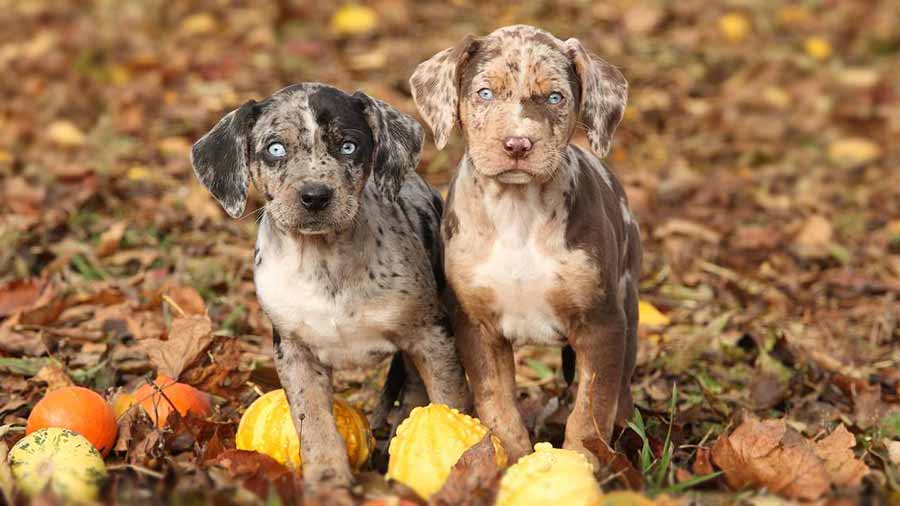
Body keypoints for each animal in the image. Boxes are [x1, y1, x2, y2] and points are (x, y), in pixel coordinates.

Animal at [190, 84, 472, 490]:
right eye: (275, 149)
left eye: (348, 146)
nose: (315, 196)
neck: (324, 262)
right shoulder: (294, 351)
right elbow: (313, 421)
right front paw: (327, 477)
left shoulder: (431, 337)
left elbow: (450, 402)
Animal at [412, 24, 644, 466]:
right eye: (485, 93)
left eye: (555, 98)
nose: (518, 144)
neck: (517, 213)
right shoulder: (475, 326)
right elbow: (496, 404)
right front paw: (509, 460)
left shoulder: (603, 323)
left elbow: (592, 409)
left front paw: (581, 463)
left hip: (629, 302)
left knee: (621, 387)